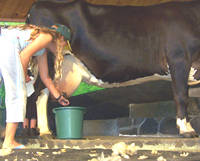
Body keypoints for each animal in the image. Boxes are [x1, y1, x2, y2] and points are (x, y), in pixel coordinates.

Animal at [26, 0, 200, 138]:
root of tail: (37, 5)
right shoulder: (179, 59)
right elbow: (181, 96)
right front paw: (186, 130)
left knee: (39, 95)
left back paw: (42, 132)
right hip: (47, 61)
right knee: (35, 95)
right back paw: (37, 133)